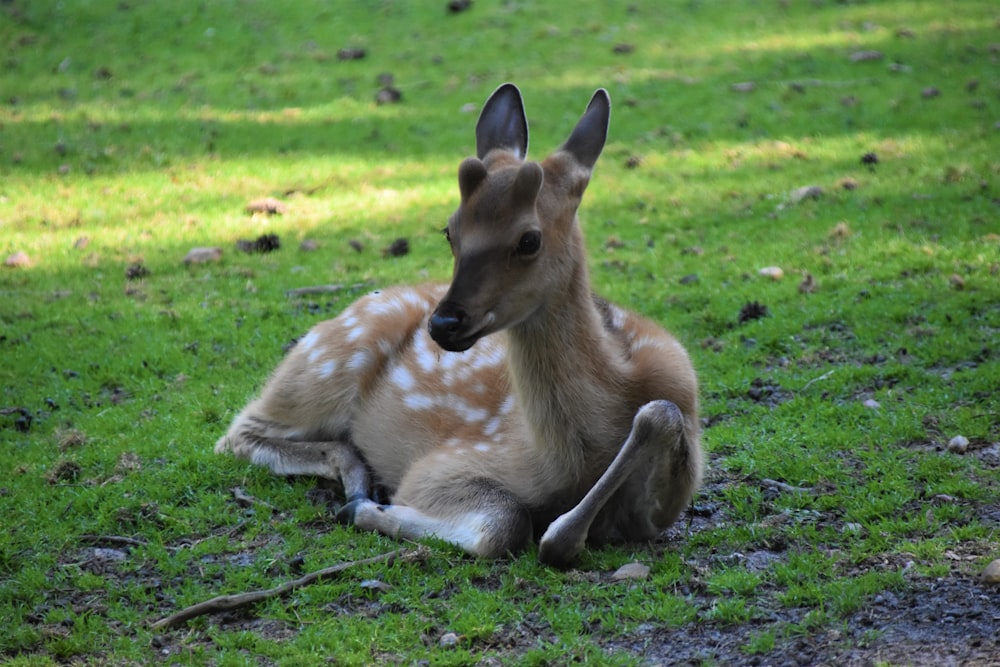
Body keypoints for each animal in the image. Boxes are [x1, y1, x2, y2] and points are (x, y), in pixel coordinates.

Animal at [217, 81, 704, 568]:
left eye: (530, 239)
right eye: (449, 230)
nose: (444, 322)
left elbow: (659, 415)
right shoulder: (441, 465)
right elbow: (507, 522)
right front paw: (367, 509)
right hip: (326, 365)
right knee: (238, 432)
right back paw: (355, 479)